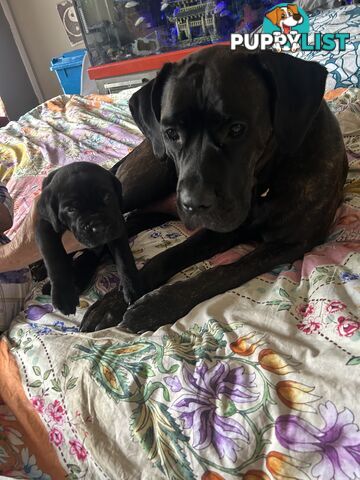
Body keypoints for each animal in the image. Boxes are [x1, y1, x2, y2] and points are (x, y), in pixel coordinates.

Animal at [35, 163, 141, 316]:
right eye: (71, 210)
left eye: (107, 197)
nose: (99, 227)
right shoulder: (45, 226)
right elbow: (54, 257)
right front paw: (63, 296)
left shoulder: (117, 225)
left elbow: (123, 257)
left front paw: (131, 285)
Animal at [81, 46, 346, 334]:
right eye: (170, 133)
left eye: (237, 129)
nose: (192, 203)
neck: (263, 181)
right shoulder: (218, 231)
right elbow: (166, 256)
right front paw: (115, 300)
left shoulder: (289, 242)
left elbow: (222, 272)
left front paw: (156, 305)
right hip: (142, 183)